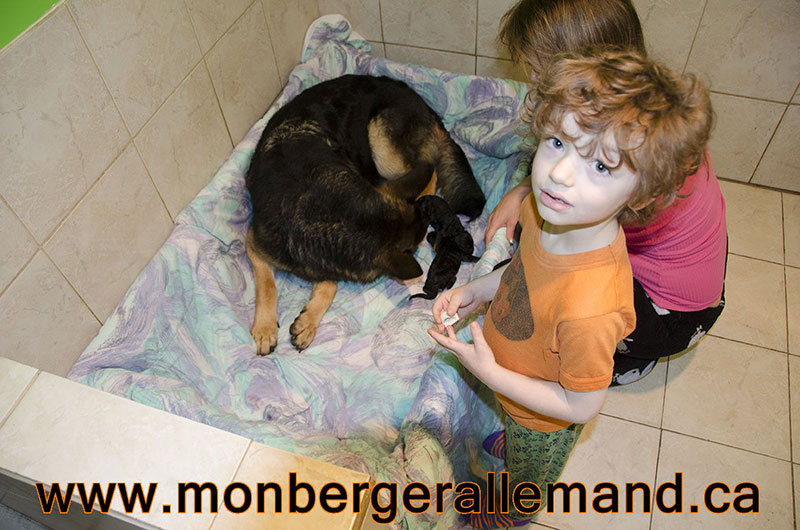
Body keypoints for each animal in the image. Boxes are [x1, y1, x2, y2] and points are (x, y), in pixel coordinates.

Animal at [245, 75, 485, 354]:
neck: (332, 212)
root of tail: (423, 103)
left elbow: (330, 285)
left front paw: (307, 322)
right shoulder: (254, 241)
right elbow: (266, 284)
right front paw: (265, 328)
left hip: (382, 146)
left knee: (430, 168)